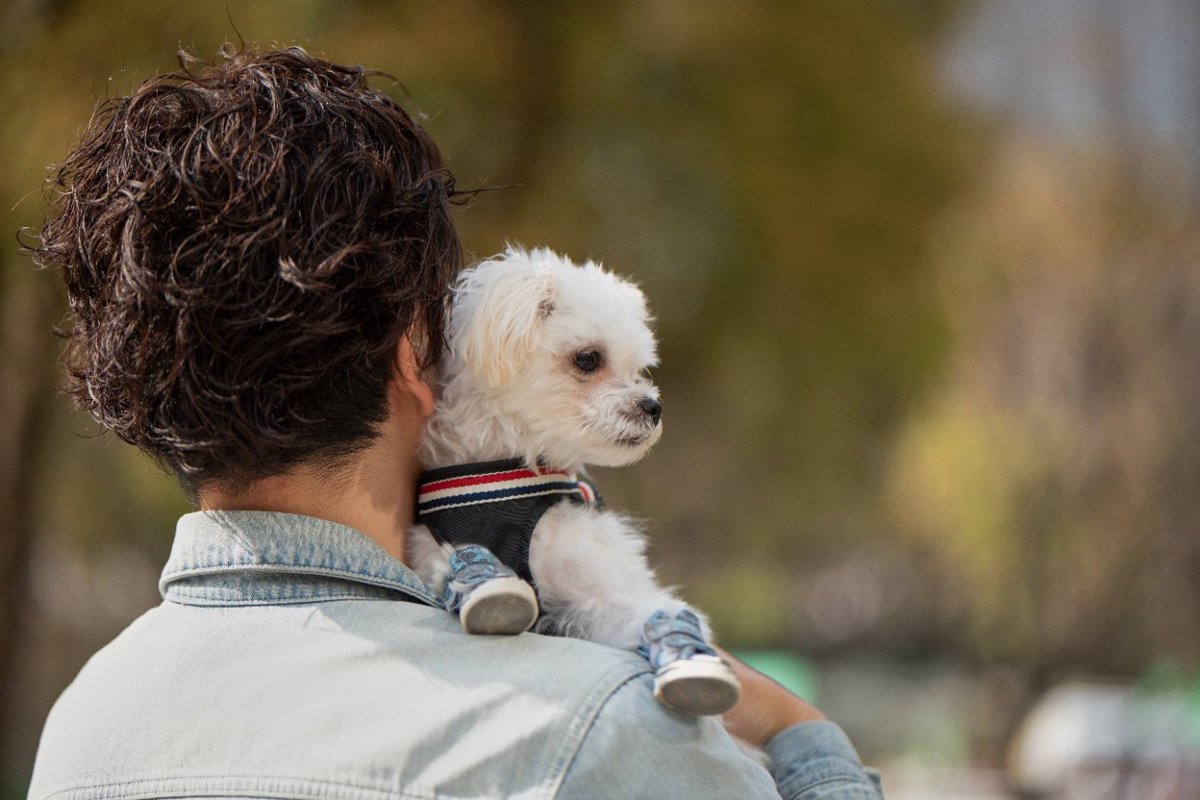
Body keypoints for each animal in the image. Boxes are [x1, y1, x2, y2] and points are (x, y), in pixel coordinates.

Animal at [408, 247, 734, 714]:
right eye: (588, 358)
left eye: (638, 369)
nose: (653, 407)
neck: (506, 473)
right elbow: (443, 562)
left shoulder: (600, 592)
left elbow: (638, 613)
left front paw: (681, 646)